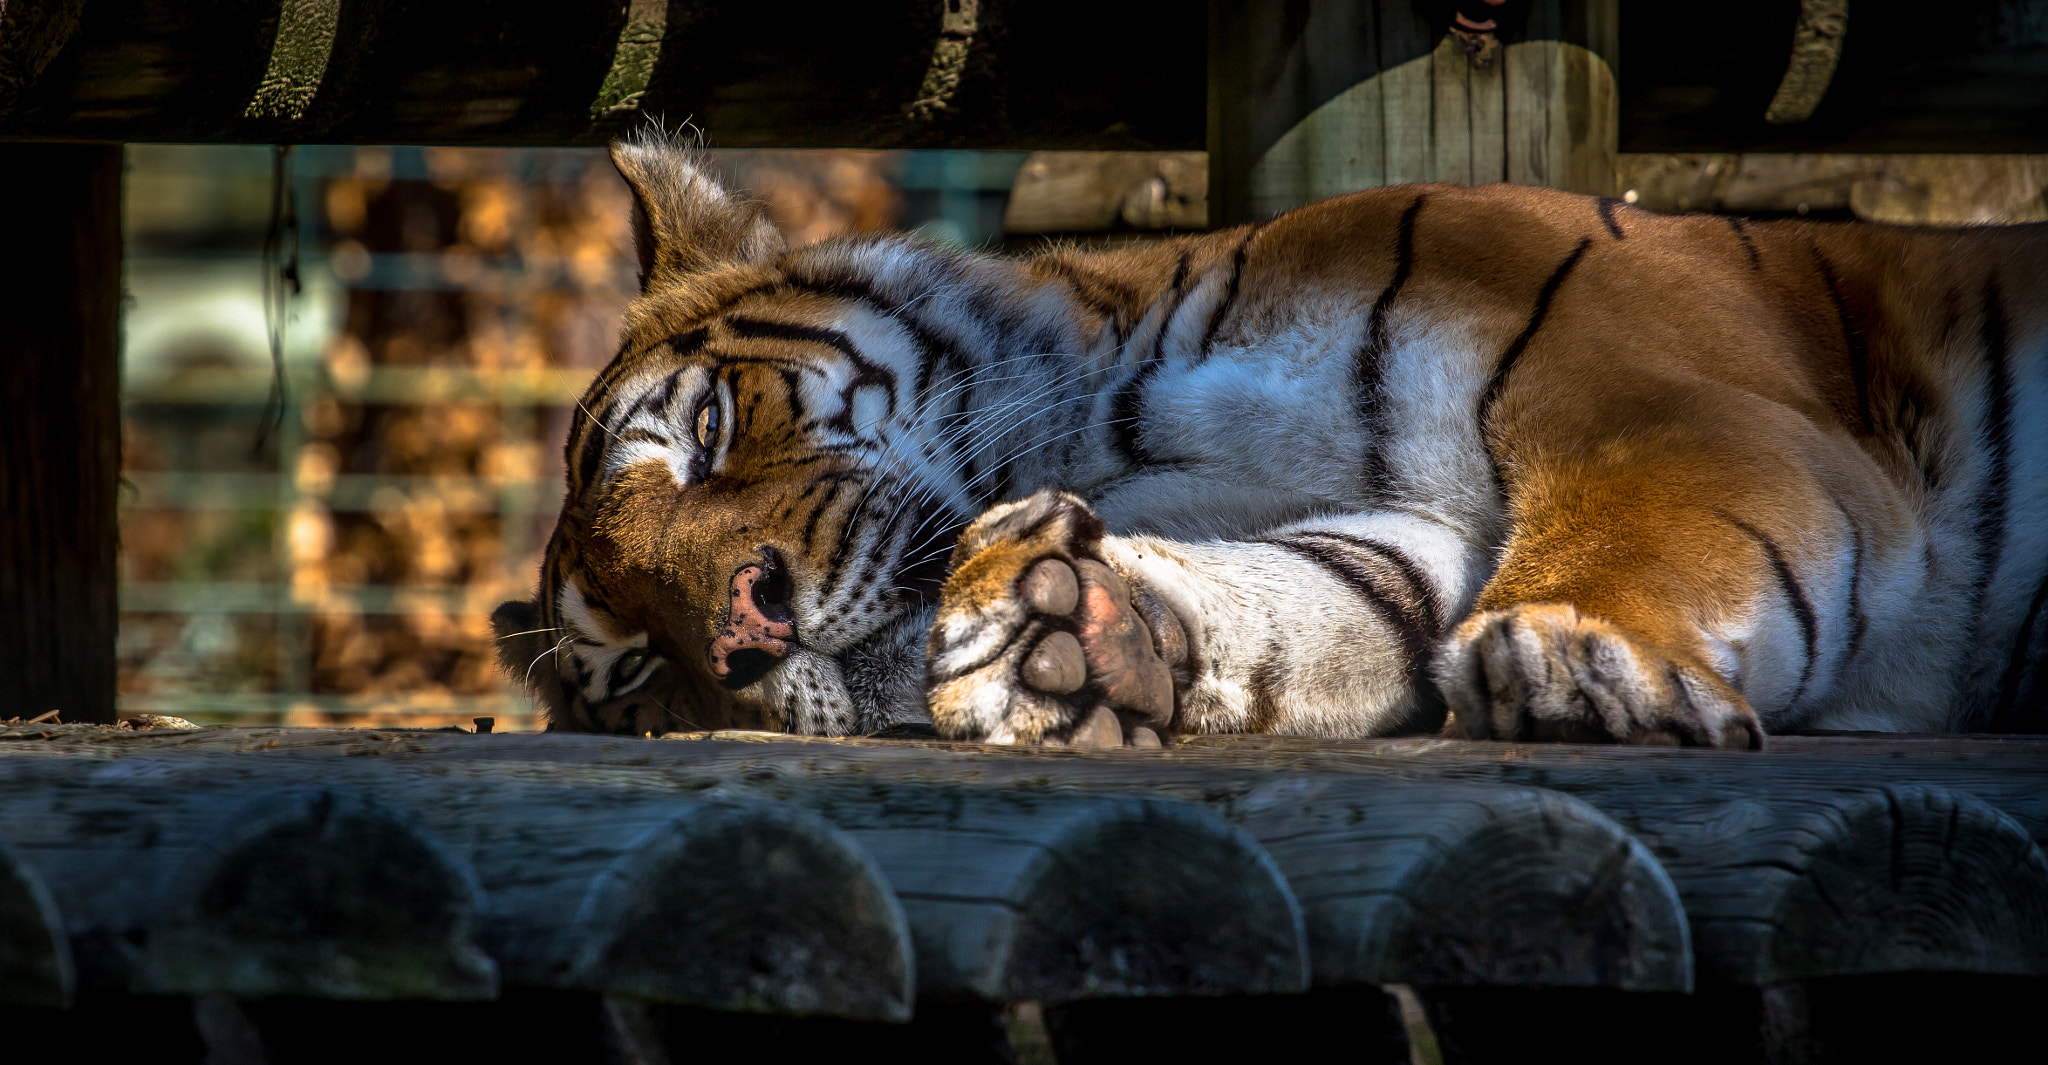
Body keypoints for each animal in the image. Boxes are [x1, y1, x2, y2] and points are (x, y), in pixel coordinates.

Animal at [492, 129, 2048, 748]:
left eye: (702, 432)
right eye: (638, 667)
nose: (744, 635)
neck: (1135, 423)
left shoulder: (1659, 399)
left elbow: (1645, 525)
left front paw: (1571, 653)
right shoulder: (1418, 526)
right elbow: (1325, 597)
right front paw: (1069, 638)